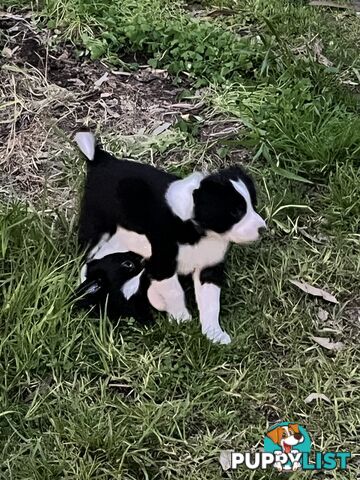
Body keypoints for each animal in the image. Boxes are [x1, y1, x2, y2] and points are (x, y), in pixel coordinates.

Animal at [74, 129, 266, 344]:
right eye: (236, 212)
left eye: (253, 205)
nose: (263, 229)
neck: (196, 231)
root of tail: (100, 159)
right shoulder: (162, 264)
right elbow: (174, 292)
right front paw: (182, 320)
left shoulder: (209, 266)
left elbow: (211, 302)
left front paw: (214, 334)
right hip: (95, 226)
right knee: (88, 255)